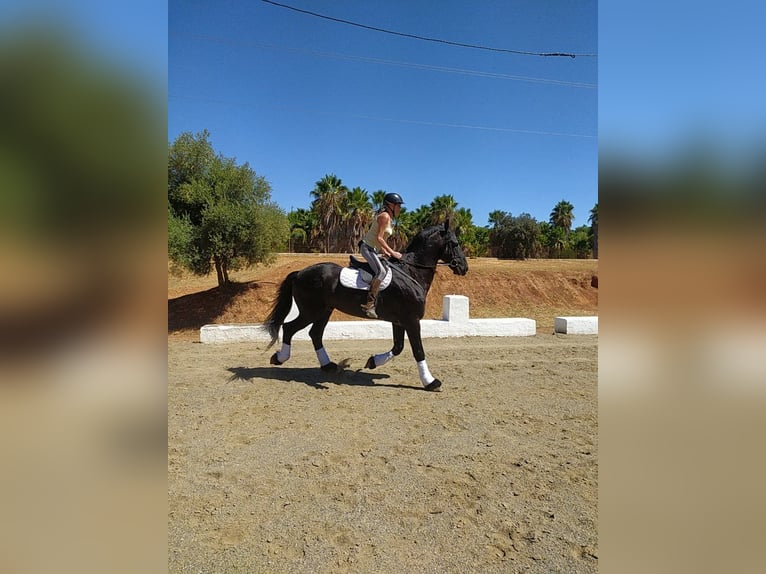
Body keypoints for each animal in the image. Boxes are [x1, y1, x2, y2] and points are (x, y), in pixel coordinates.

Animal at [263, 221, 469, 391]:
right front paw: (431, 382)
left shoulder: (399, 321)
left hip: (324, 310)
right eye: (455, 243)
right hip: (311, 311)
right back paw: (280, 358)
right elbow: (418, 350)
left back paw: (328, 366)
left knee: (315, 334)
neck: (412, 272)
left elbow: (398, 347)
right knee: (289, 328)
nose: (464, 268)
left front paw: (373, 362)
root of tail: (299, 273)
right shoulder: (411, 320)